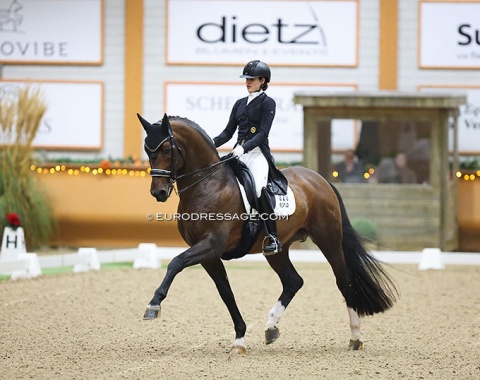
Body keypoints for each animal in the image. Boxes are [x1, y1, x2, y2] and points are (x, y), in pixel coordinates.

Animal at [138, 113, 398, 354]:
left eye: (167, 149)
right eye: (148, 150)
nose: (158, 192)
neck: (207, 184)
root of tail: (321, 180)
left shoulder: (211, 244)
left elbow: (176, 262)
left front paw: (154, 305)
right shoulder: (209, 255)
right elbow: (226, 292)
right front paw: (239, 339)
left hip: (329, 239)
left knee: (343, 281)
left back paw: (355, 337)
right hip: (277, 249)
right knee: (293, 281)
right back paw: (271, 327)